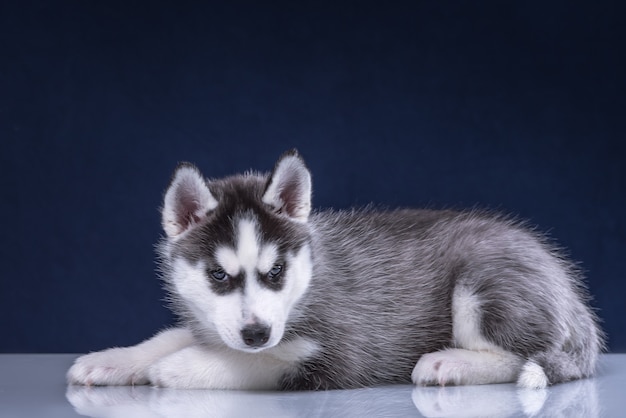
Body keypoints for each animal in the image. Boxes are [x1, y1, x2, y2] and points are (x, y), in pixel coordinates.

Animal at [67, 149, 600, 388]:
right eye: (218, 276)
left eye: (276, 271)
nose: (258, 332)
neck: (308, 282)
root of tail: (568, 287)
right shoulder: (215, 322)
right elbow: (172, 335)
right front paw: (116, 359)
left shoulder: (340, 355)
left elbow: (258, 362)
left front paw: (179, 366)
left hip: (483, 284)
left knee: (524, 353)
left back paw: (451, 361)